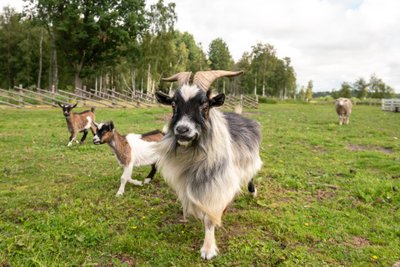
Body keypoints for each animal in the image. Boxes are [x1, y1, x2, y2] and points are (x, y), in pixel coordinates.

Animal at [155, 70, 262, 260]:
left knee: (251, 175)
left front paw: (208, 249)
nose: (182, 130)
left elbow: (210, 218)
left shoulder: (217, 185)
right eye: (174, 105)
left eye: (204, 106)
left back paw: (252, 193)